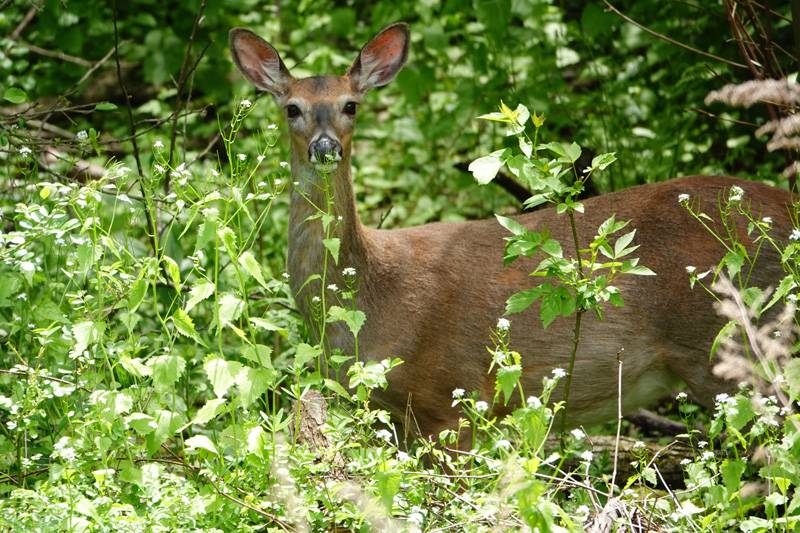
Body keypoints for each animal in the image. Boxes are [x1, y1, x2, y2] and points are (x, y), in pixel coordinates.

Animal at [230, 22, 792, 438]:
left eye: (351, 104)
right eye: (292, 108)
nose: (326, 146)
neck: (370, 297)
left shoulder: (449, 397)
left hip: (731, 345)